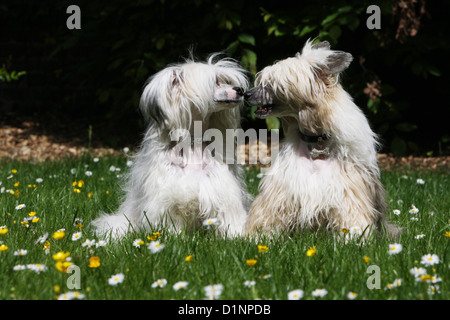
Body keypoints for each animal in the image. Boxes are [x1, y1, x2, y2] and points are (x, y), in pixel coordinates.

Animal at [92, 55, 251, 239]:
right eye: (216, 82)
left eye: (226, 80)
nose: (240, 90)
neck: (192, 144)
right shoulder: (167, 198)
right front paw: (173, 237)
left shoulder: (221, 190)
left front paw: (237, 236)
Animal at [244, 40, 400, 239]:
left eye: (272, 83)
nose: (246, 95)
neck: (315, 140)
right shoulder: (283, 190)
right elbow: (267, 216)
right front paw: (257, 237)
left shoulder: (348, 191)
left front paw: (353, 239)